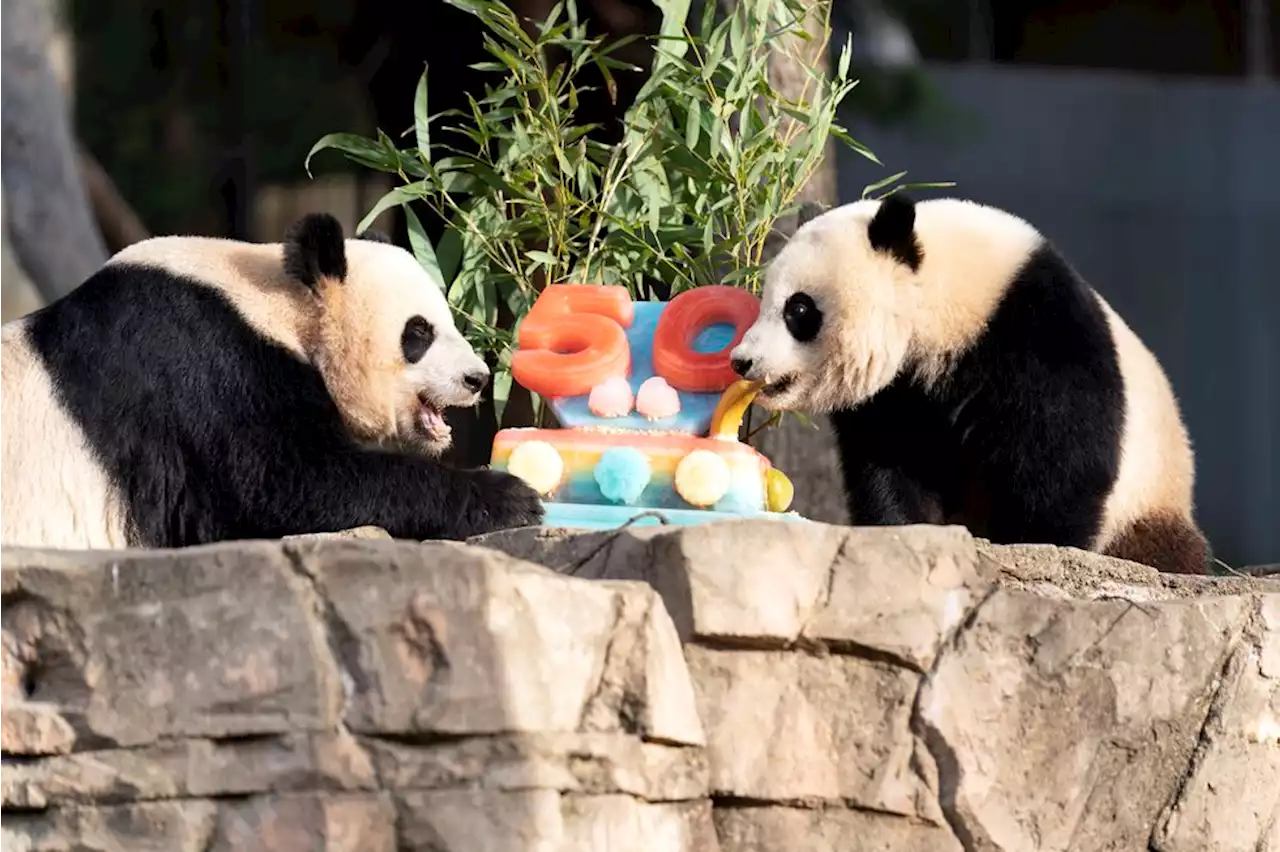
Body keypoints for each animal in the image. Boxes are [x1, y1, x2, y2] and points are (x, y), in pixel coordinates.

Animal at [0, 208, 545, 547]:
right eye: (419, 333)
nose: (477, 378)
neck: (274, 302)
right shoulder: (200, 368)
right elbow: (284, 484)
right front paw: (510, 497)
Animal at [732, 194, 1208, 570]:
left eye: (798, 309)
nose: (742, 361)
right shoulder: (897, 393)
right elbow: (891, 462)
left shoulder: (1037, 331)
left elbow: (1063, 459)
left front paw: (1034, 544)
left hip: (1149, 500)